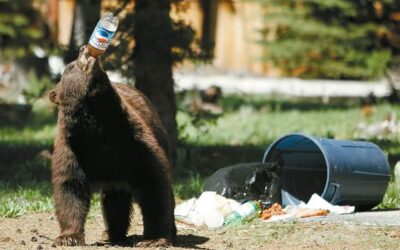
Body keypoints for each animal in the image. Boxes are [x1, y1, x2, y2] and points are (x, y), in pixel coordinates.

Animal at [48, 46, 177, 247]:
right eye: (70, 67)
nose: (83, 49)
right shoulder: (71, 148)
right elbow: (70, 187)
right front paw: (68, 237)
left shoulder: (134, 142)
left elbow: (154, 185)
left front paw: (153, 239)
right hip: (115, 179)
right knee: (114, 201)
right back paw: (111, 234)